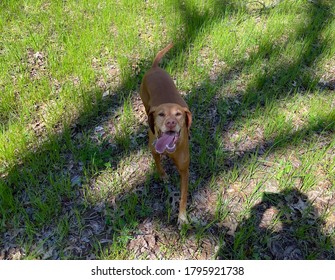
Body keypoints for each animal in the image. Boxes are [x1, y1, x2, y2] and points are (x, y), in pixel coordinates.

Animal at [139, 42, 192, 225]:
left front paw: (182, 217)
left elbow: (183, 196)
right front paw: (163, 176)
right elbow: (158, 163)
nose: (170, 123)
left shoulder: (184, 171)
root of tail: (154, 68)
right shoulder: (154, 149)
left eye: (178, 114)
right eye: (161, 114)